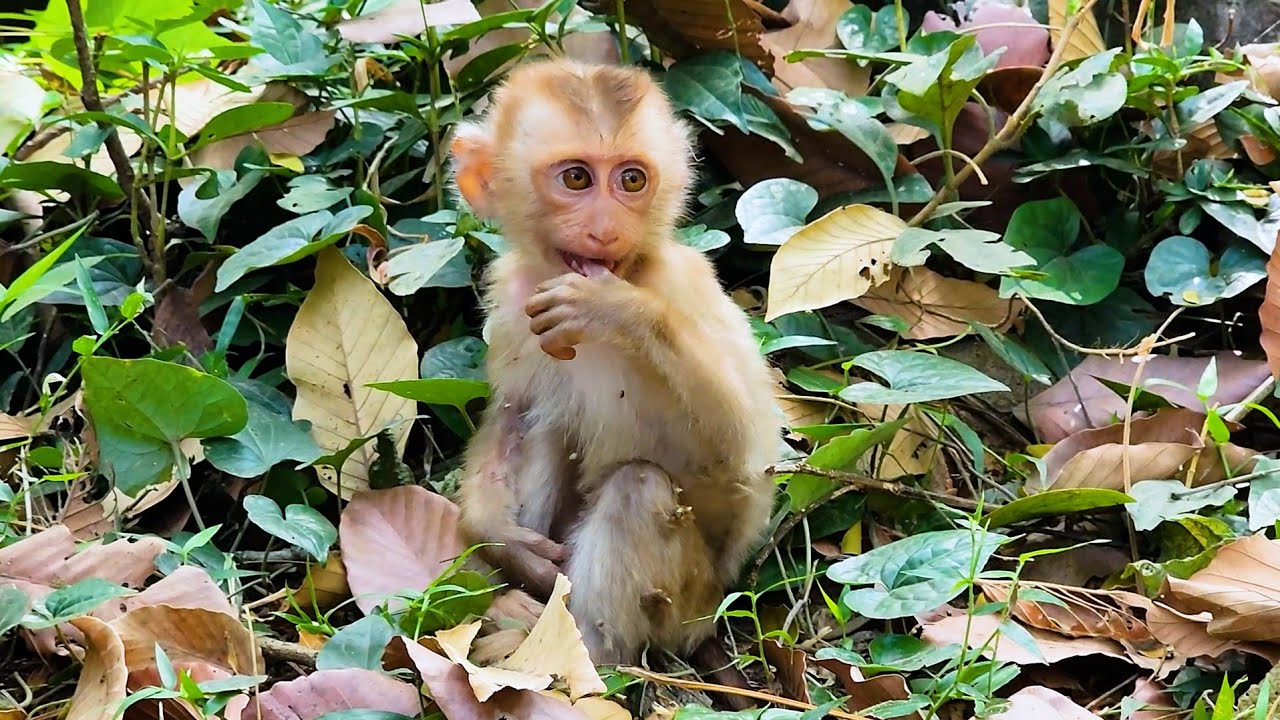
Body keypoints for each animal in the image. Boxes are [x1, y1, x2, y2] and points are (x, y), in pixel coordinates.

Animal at [448, 59, 782, 664]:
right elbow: (513, 410)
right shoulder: (511, 297)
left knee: (638, 487)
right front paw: (495, 534)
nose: (606, 231)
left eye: (631, 180)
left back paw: (578, 657)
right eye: (577, 179)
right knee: (547, 421)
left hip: (687, 605)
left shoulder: (683, 280)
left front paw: (614, 309)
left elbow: (741, 451)